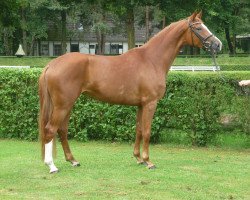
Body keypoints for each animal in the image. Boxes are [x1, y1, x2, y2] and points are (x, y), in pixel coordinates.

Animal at [38, 11, 221, 173]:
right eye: (198, 28)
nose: (218, 44)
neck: (151, 60)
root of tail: (52, 64)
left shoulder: (141, 105)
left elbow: (139, 129)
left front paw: (138, 158)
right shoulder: (150, 103)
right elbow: (147, 131)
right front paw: (148, 161)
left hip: (67, 105)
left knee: (62, 130)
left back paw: (73, 161)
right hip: (63, 105)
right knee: (50, 130)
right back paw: (52, 166)